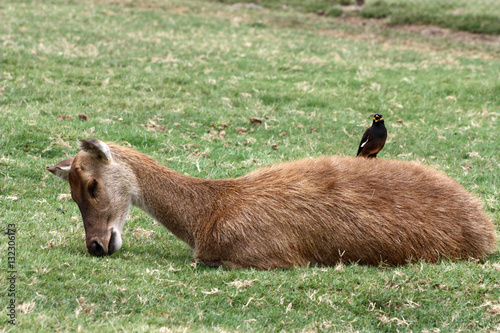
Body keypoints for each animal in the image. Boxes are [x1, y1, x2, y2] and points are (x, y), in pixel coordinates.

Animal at [46, 139, 496, 268]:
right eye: (70, 191)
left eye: (91, 186)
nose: (96, 245)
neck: (206, 217)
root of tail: (486, 229)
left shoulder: (264, 257)